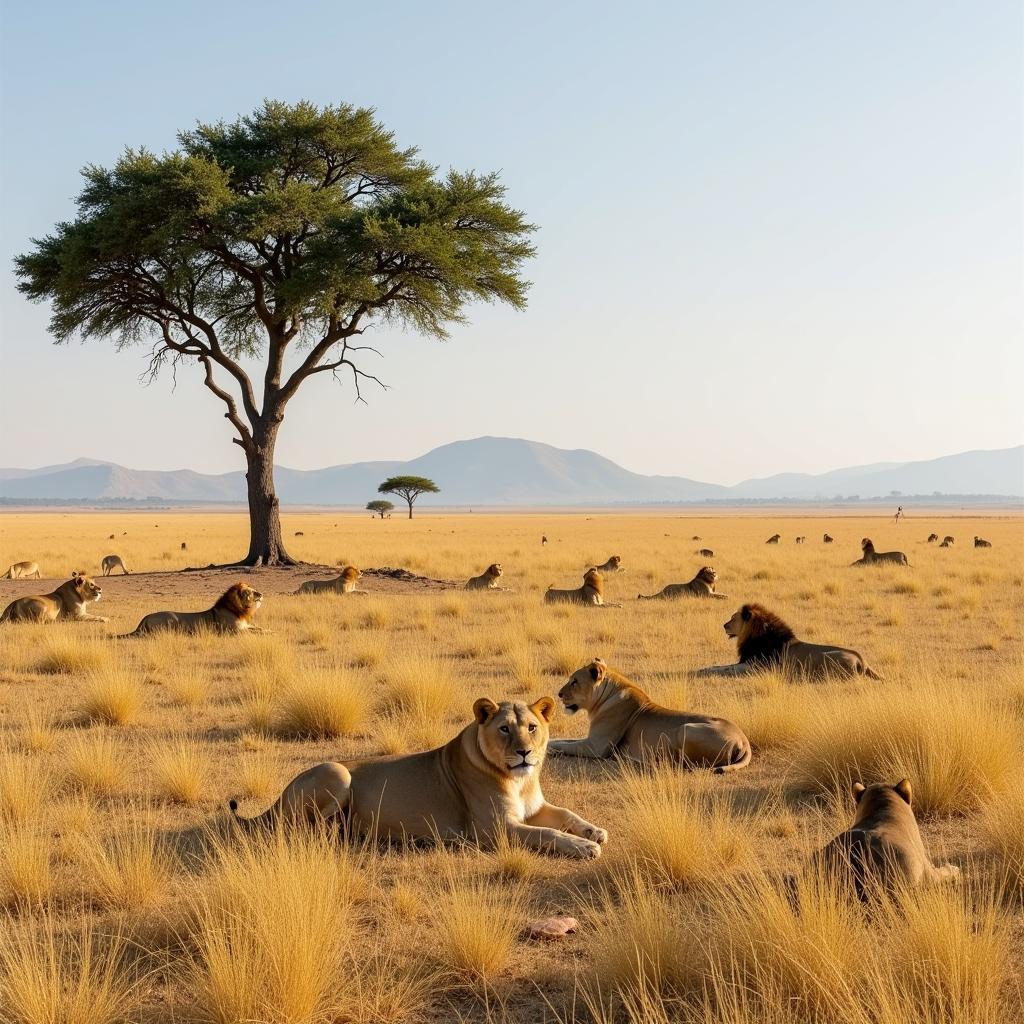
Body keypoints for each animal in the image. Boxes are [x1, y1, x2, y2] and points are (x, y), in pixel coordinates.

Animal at [121, 581, 266, 634]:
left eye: (254, 589)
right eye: (249, 592)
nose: (261, 594)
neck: (238, 610)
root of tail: (145, 617)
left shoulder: (245, 625)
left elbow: (260, 628)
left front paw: (269, 631)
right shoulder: (233, 631)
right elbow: (255, 632)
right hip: (171, 620)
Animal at [232, 696, 606, 856]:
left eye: (531, 727)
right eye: (504, 729)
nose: (525, 752)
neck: (519, 779)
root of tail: (279, 797)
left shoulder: (533, 808)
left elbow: (565, 815)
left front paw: (594, 831)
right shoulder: (495, 828)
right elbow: (547, 833)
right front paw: (584, 846)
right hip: (336, 772)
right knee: (302, 829)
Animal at [552, 659, 753, 770]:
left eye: (574, 681)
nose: (559, 694)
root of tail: (744, 741)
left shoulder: (596, 746)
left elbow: (565, 746)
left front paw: (549, 751)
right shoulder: (590, 739)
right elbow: (562, 740)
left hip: (685, 729)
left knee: (682, 763)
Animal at [700, 598, 884, 679]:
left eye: (733, 618)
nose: (724, 625)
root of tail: (863, 661)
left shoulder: (758, 666)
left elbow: (726, 668)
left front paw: (703, 670)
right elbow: (721, 666)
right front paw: (705, 668)